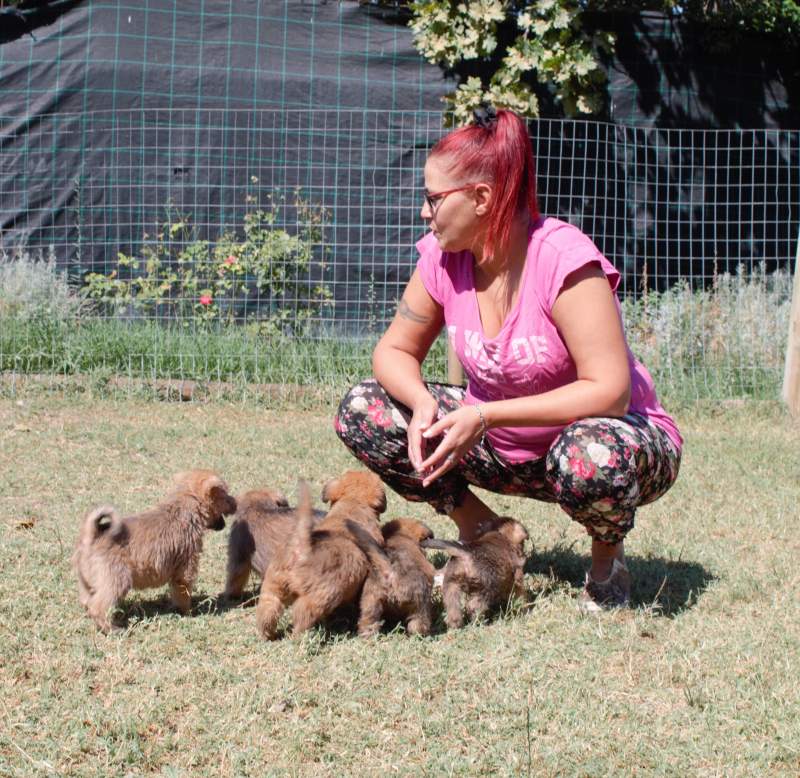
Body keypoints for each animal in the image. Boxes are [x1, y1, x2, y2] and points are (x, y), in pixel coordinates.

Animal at [72, 466, 238, 632]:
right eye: (226, 495)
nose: (235, 502)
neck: (185, 507)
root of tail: (92, 536)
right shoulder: (185, 570)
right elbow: (183, 594)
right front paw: (187, 612)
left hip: (88, 583)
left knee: (87, 602)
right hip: (116, 580)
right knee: (98, 606)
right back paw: (112, 629)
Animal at [253, 466, 384, 636]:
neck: (352, 503)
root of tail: (300, 549)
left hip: (272, 586)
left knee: (268, 610)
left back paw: (268, 635)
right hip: (322, 595)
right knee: (303, 614)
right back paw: (302, 635)